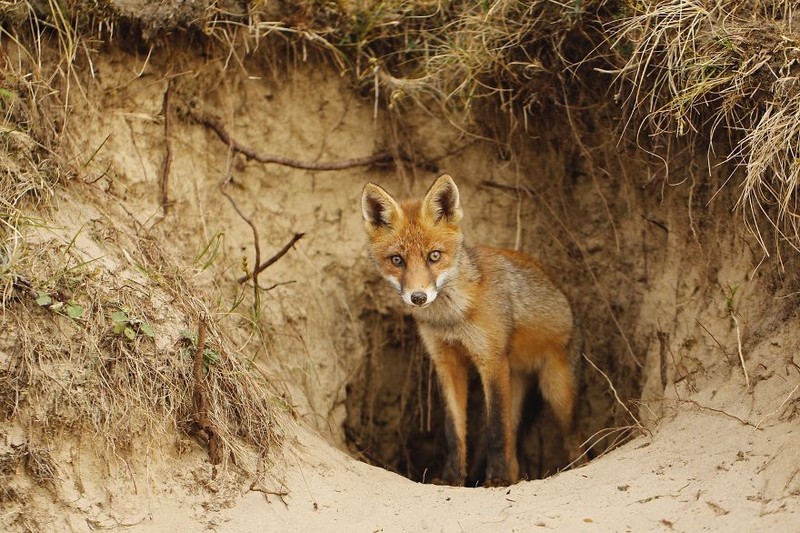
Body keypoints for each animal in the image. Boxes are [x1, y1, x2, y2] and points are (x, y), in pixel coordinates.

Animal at [362, 175, 580, 486]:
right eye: (397, 260)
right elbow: (454, 432)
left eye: (434, 256)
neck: (452, 317)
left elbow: (495, 431)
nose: (418, 297)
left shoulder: (491, 360)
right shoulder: (447, 362)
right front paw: (451, 478)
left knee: (573, 439)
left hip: (558, 392)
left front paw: (496, 480)